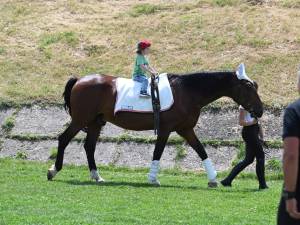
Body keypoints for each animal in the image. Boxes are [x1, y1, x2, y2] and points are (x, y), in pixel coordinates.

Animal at [47, 70, 262, 186]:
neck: (187, 92)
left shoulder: (186, 130)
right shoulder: (166, 129)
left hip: (94, 123)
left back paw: (96, 176)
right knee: (63, 139)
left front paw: (213, 179)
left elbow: (202, 151)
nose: (259, 110)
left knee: (89, 147)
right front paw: (152, 178)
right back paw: (53, 170)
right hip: (80, 120)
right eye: (248, 87)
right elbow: (157, 152)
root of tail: (79, 80)